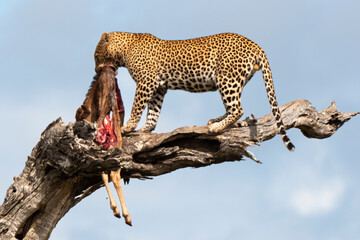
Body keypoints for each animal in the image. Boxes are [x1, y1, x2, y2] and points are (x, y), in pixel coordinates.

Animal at [93, 31, 296, 151]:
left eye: (96, 56)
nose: (96, 70)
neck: (125, 49)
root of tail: (255, 45)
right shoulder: (159, 87)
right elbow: (153, 111)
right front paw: (146, 129)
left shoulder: (146, 82)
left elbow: (137, 107)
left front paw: (128, 127)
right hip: (234, 81)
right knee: (233, 107)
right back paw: (216, 121)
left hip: (227, 79)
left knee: (238, 109)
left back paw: (216, 127)